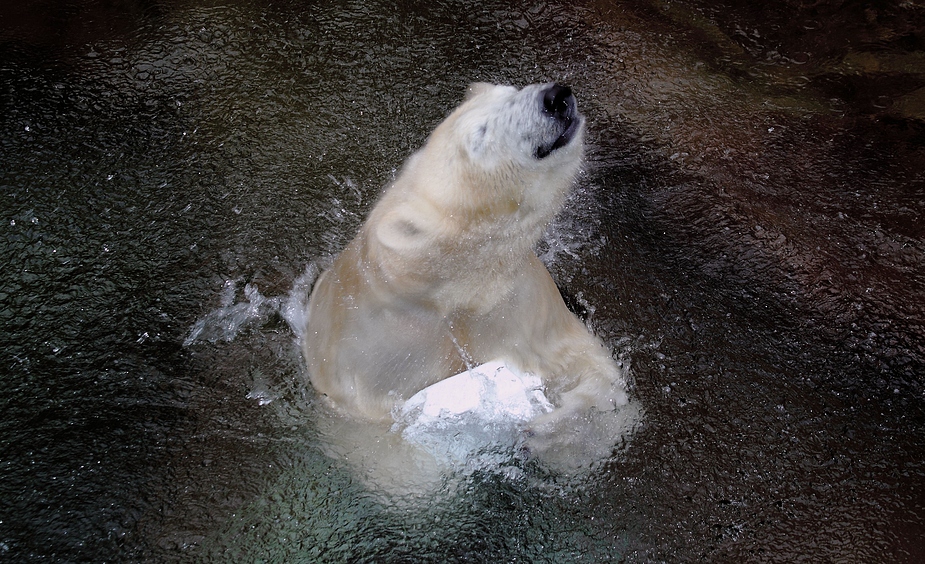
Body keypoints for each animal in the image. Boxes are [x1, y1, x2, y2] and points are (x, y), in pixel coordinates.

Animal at [304, 83, 628, 446]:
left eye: (508, 90)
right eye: (480, 135)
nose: (554, 97)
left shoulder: (516, 302)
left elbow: (580, 360)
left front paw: (546, 425)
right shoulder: (378, 356)